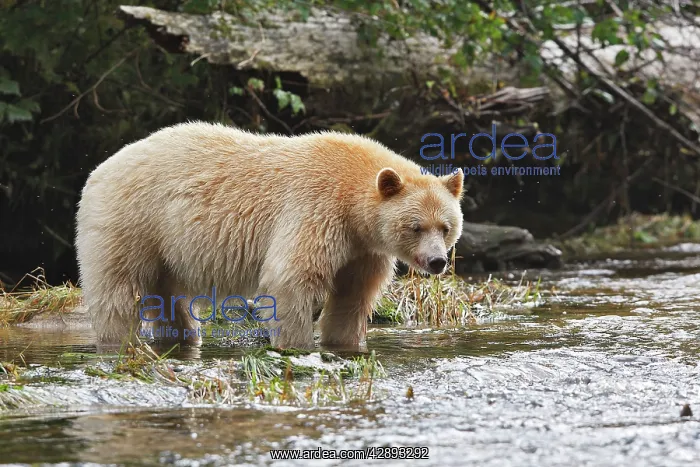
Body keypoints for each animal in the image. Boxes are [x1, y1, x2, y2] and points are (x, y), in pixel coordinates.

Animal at [75, 122, 464, 350]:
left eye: (446, 227)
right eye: (415, 226)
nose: (437, 261)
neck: (354, 202)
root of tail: (99, 170)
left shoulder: (363, 248)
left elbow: (354, 293)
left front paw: (345, 343)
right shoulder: (316, 209)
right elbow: (291, 278)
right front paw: (297, 347)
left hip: (165, 246)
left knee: (169, 296)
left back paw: (183, 336)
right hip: (131, 221)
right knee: (118, 289)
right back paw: (119, 340)